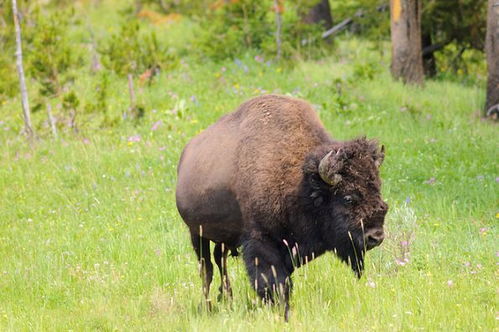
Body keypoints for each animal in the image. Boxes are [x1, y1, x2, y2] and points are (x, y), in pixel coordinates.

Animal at [175, 94, 386, 320]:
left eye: (378, 189)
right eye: (348, 198)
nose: (376, 236)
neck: (300, 184)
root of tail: (185, 154)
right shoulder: (261, 241)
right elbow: (275, 282)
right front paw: (282, 312)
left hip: (222, 239)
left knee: (219, 261)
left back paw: (227, 299)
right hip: (196, 233)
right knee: (206, 269)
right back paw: (208, 306)